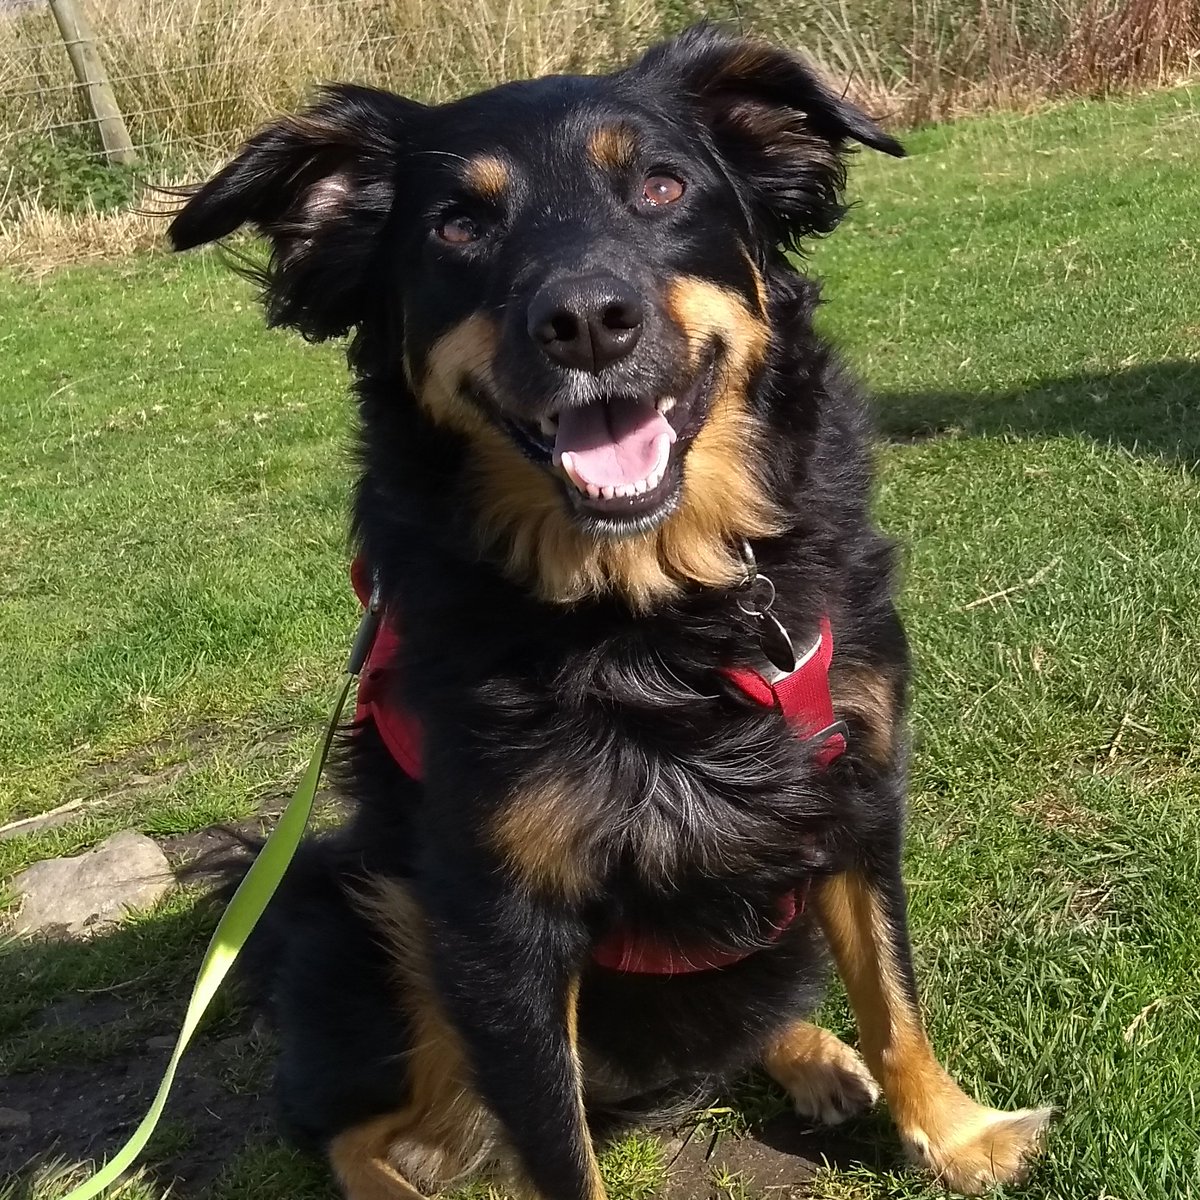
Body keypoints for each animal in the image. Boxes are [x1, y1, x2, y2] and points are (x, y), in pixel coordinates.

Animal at [169, 28, 1051, 1200]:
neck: (656, 606)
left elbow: (891, 987)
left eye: (662, 187)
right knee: (360, 1134)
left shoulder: (855, 790)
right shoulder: (498, 927)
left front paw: (954, 1133)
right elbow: (555, 1144)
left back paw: (814, 1056)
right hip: (383, 926)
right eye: (457, 225)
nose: (587, 321)